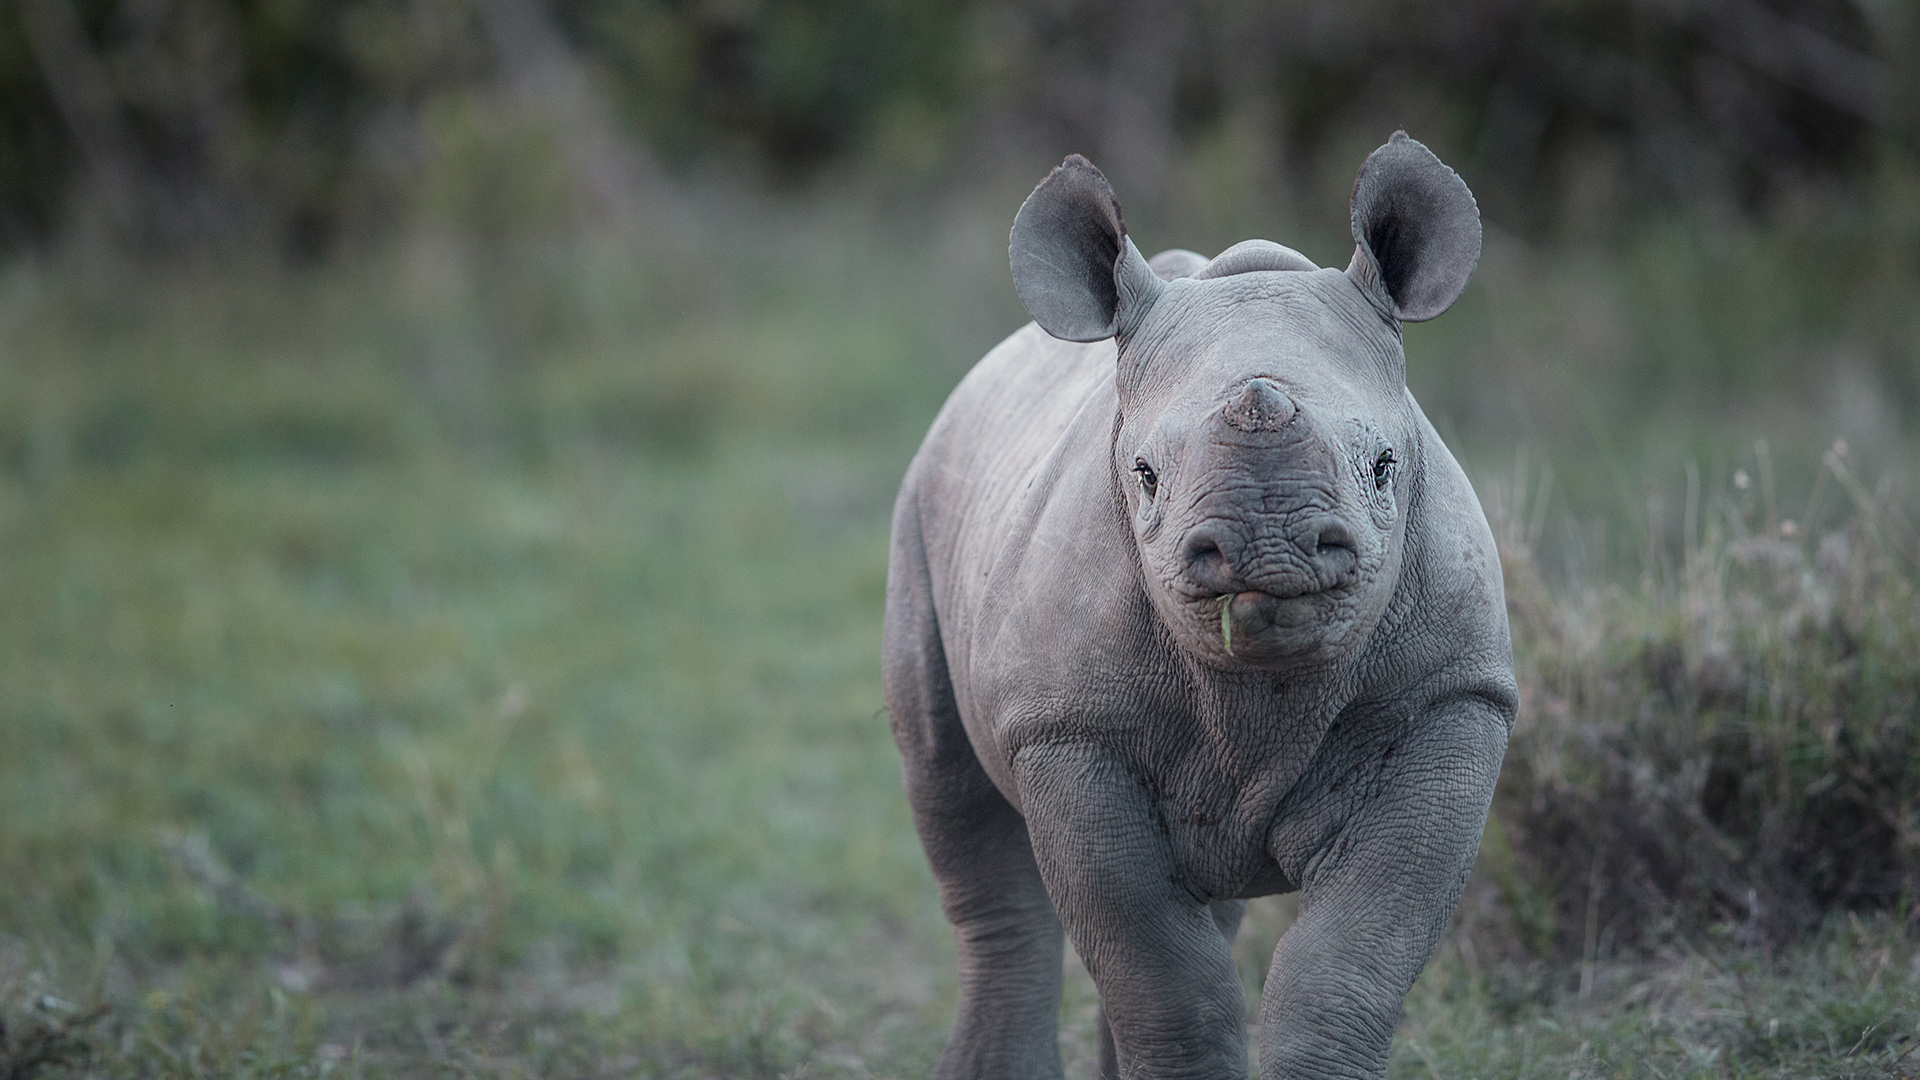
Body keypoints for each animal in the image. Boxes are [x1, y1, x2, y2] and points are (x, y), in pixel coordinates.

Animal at [883, 134, 1512, 1076]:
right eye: (1145, 476)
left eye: (1384, 467)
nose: (1268, 547)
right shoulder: (1067, 729)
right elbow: (1164, 978)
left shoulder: (1453, 694)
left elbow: (1348, 962)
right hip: (923, 503)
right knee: (964, 818)